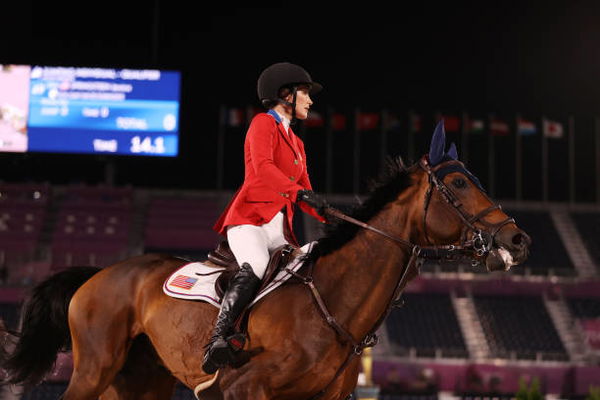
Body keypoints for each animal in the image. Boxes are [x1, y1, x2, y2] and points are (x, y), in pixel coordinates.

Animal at [0, 122, 528, 400]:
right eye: (458, 184)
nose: (518, 239)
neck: (333, 303)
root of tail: (100, 274)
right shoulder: (245, 388)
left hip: (140, 382)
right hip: (94, 370)